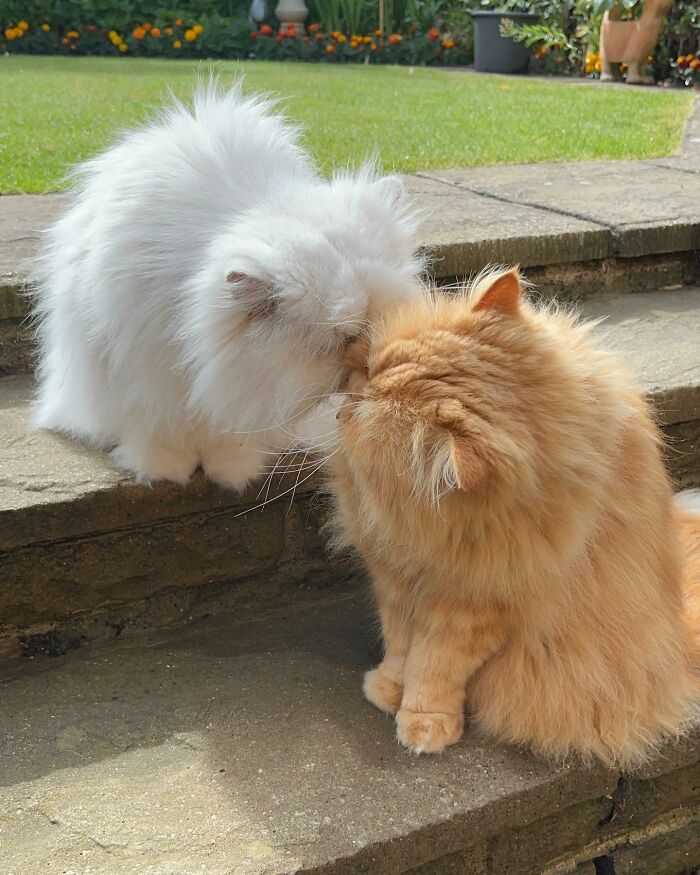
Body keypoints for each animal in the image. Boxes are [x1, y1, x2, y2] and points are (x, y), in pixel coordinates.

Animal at [34, 80, 422, 492]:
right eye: (344, 341)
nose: (370, 367)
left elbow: (227, 433)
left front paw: (231, 470)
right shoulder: (145, 376)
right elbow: (160, 430)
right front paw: (166, 470)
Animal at [332, 266, 700, 768]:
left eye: (369, 402)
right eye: (371, 367)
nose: (352, 383)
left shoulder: (475, 606)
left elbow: (433, 665)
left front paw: (423, 722)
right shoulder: (393, 578)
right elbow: (399, 644)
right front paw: (387, 687)